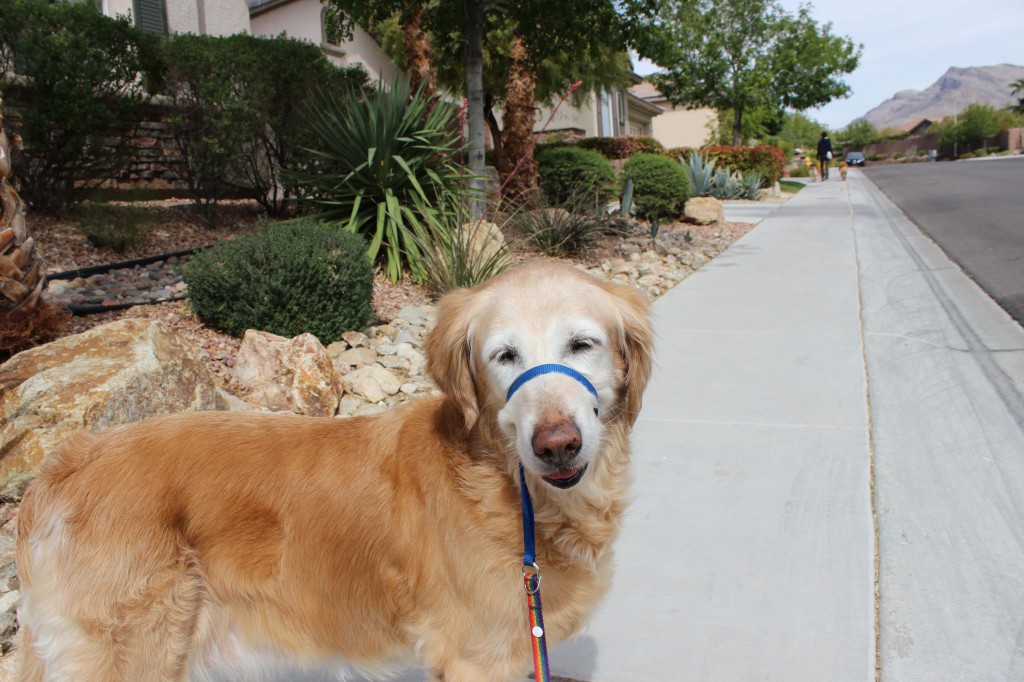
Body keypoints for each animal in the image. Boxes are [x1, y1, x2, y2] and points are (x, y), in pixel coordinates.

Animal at [12, 259, 651, 679]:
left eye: (582, 343)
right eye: (504, 355)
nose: (557, 445)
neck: (507, 484)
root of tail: (62, 465)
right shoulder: (477, 658)